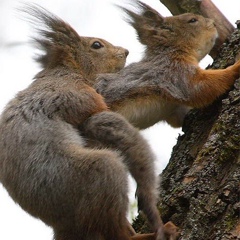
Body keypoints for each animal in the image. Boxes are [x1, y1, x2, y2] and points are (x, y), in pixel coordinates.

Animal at [0, 3, 180, 240]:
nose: (125, 51)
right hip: (96, 173)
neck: (68, 71)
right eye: (96, 45)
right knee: (116, 233)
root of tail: (63, 225)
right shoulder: (74, 93)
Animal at [94, 0, 240, 130]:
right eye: (192, 20)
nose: (214, 23)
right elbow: (199, 87)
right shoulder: (173, 72)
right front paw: (236, 66)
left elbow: (180, 118)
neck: (170, 52)